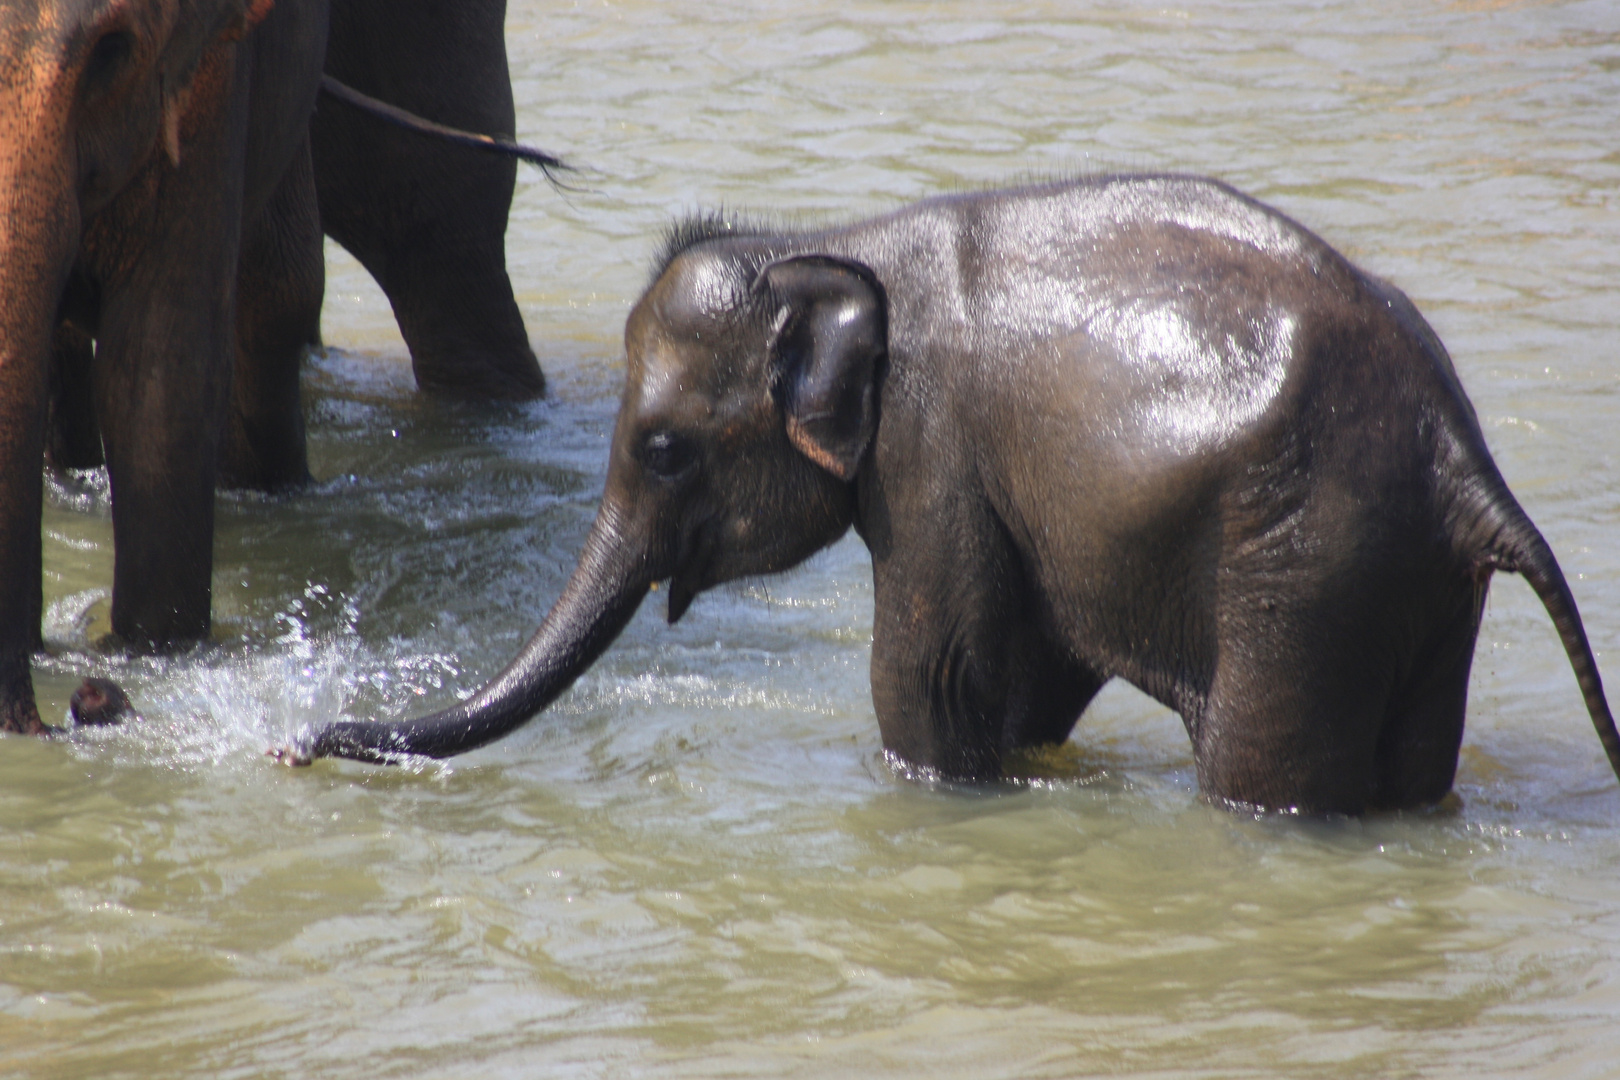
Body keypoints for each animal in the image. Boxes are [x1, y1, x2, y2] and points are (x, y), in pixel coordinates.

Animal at [0, 2, 328, 735]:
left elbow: (157, 370)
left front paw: (153, 652)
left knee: (277, 299)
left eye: (112, 51)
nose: (86, 701)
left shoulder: (209, 82)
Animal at [294, 177, 1620, 816]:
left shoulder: (934, 450)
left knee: (1265, 769)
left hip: (1307, 562)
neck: (832, 242)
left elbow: (932, 674)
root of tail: (1464, 460)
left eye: (664, 451)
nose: (302, 738)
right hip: (1405, 582)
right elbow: (1024, 678)